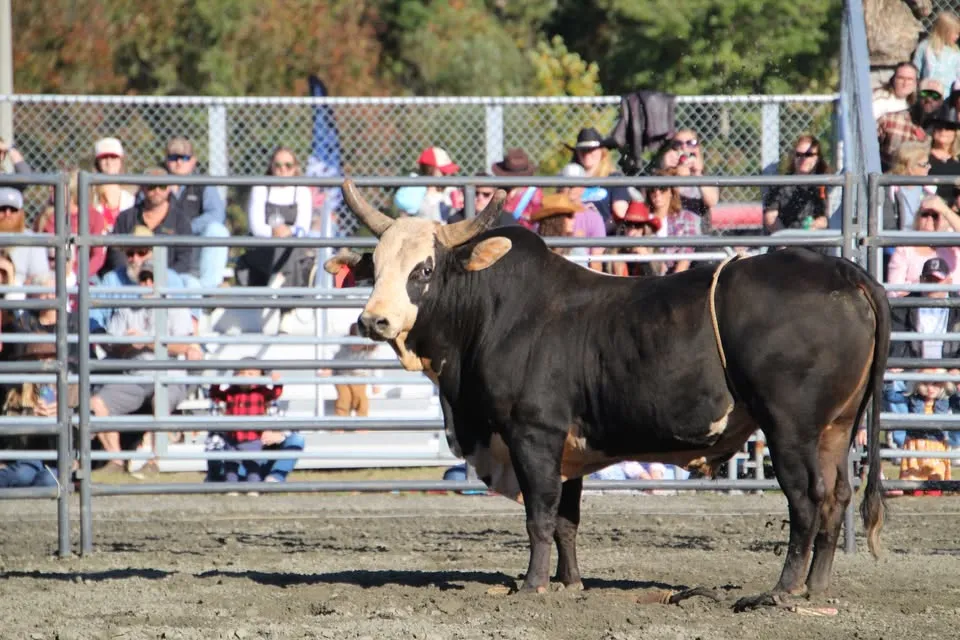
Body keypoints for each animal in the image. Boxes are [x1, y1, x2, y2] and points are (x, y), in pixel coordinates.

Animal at [324, 180, 890, 611]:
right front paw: (570, 583)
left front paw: (532, 584)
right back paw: (816, 588)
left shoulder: (533, 434)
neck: (491, 313)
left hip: (789, 429)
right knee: (837, 496)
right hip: (835, 428)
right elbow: (567, 521)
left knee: (807, 500)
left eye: (423, 269)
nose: (373, 320)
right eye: (375, 268)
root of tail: (843, 270)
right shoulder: (569, 448)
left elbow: (540, 515)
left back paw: (782, 590)